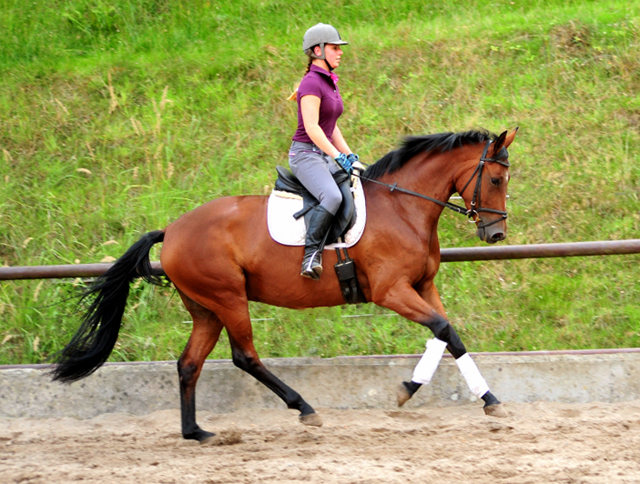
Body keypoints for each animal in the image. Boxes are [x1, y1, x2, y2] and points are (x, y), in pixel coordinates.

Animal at [52, 127, 516, 442]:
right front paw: (413, 390)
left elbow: (449, 334)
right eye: (496, 180)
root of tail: (173, 230)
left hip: (206, 308)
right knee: (244, 356)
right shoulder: (392, 291)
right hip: (228, 298)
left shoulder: (423, 286)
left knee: (189, 363)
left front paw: (484, 399)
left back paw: (196, 431)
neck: (404, 206)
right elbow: (442, 329)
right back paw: (304, 408)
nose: (495, 234)